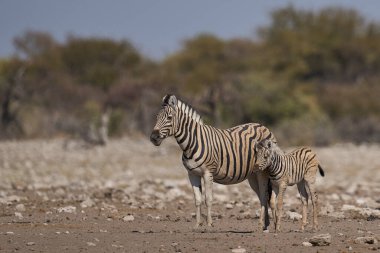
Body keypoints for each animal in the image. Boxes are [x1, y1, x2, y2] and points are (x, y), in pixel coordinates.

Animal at [151, 94, 280, 230]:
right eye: (156, 117)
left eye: (169, 118)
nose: (153, 138)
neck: (191, 143)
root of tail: (263, 126)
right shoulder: (192, 174)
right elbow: (197, 199)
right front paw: (197, 224)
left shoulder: (208, 173)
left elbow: (208, 199)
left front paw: (209, 224)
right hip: (252, 175)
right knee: (262, 196)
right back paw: (265, 224)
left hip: (262, 172)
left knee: (264, 195)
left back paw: (261, 224)